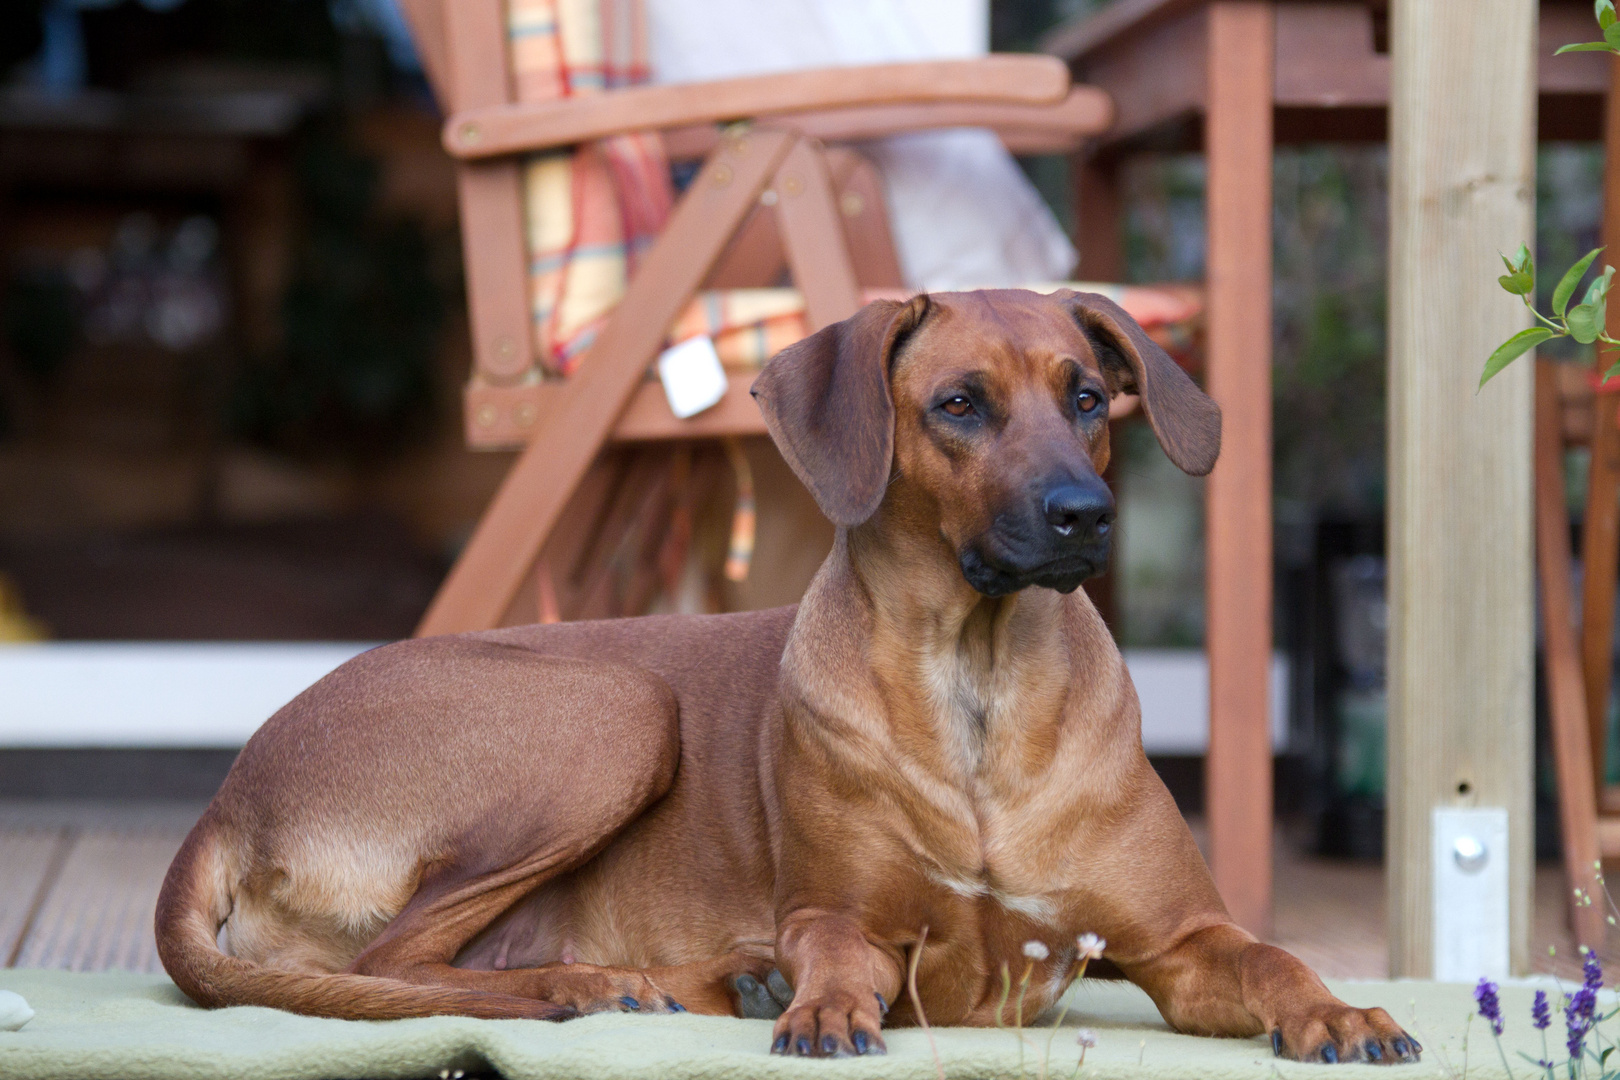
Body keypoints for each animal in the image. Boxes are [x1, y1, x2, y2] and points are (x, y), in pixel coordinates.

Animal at [154, 289, 1419, 1062]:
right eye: (958, 405)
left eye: (1087, 396)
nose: (1084, 514)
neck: (979, 684)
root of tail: (232, 792)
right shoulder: (840, 916)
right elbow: (839, 954)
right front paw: (816, 1004)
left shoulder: (1184, 942)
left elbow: (1272, 957)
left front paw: (1344, 1011)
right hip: (619, 707)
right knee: (395, 963)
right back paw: (597, 989)